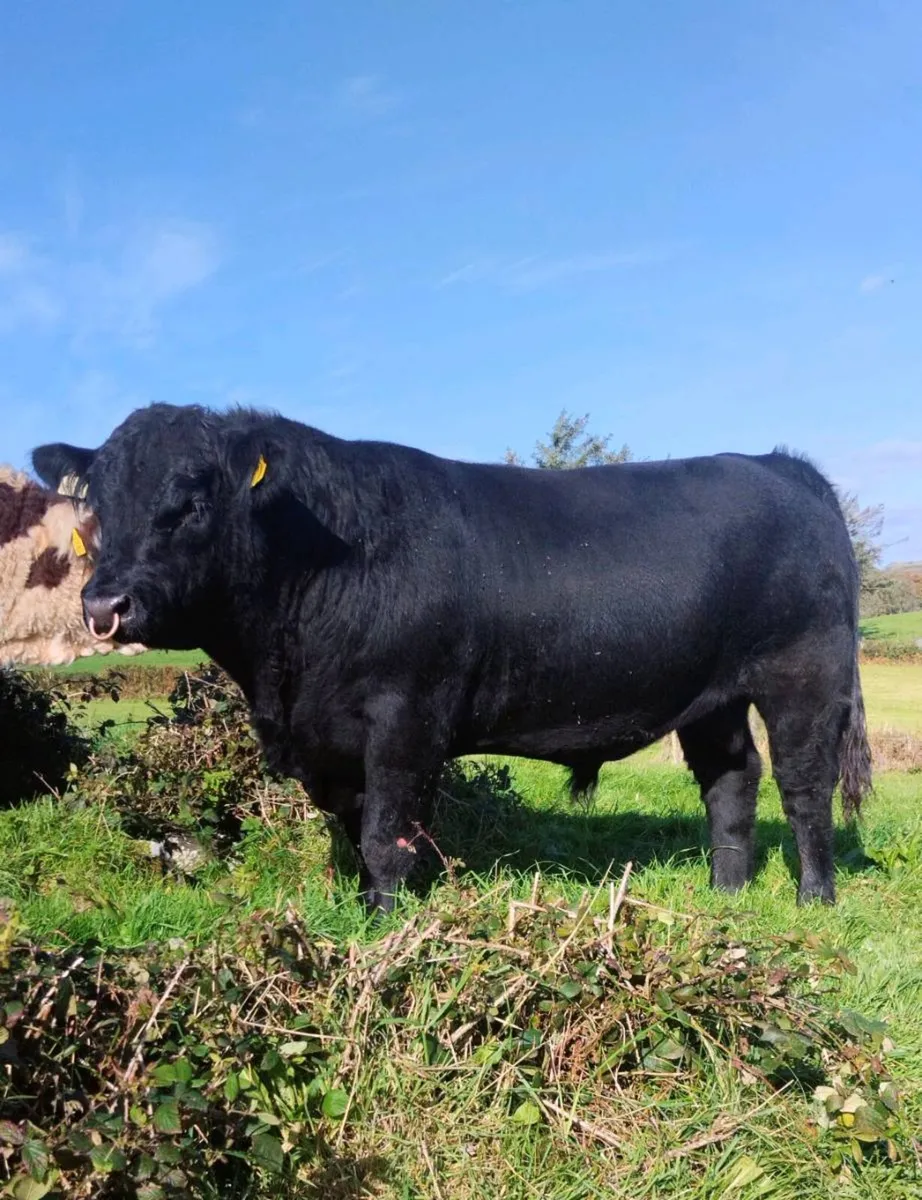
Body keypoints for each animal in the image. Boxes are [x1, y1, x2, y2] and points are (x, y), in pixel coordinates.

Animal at [32, 403, 872, 909]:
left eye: (191, 499)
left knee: (804, 786)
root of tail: (778, 463)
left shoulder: (406, 716)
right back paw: (726, 891)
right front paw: (361, 908)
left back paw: (814, 898)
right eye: (99, 504)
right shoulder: (331, 739)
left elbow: (386, 834)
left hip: (804, 674)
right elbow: (356, 832)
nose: (105, 606)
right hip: (712, 695)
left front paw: (384, 923)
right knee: (731, 778)